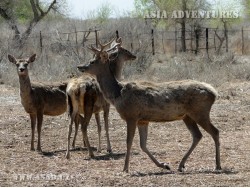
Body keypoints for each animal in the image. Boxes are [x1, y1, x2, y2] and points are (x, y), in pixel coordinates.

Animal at [77, 41, 222, 172]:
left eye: (92, 61)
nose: (80, 66)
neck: (118, 94)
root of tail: (213, 93)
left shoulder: (131, 116)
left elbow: (129, 142)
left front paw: (125, 168)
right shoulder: (143, 120)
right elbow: (143, 145)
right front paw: (164, 165)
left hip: (200, 112)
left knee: (215, 131)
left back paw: (217, 165)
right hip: (187, 116)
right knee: (197, 135)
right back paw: (181, 165)